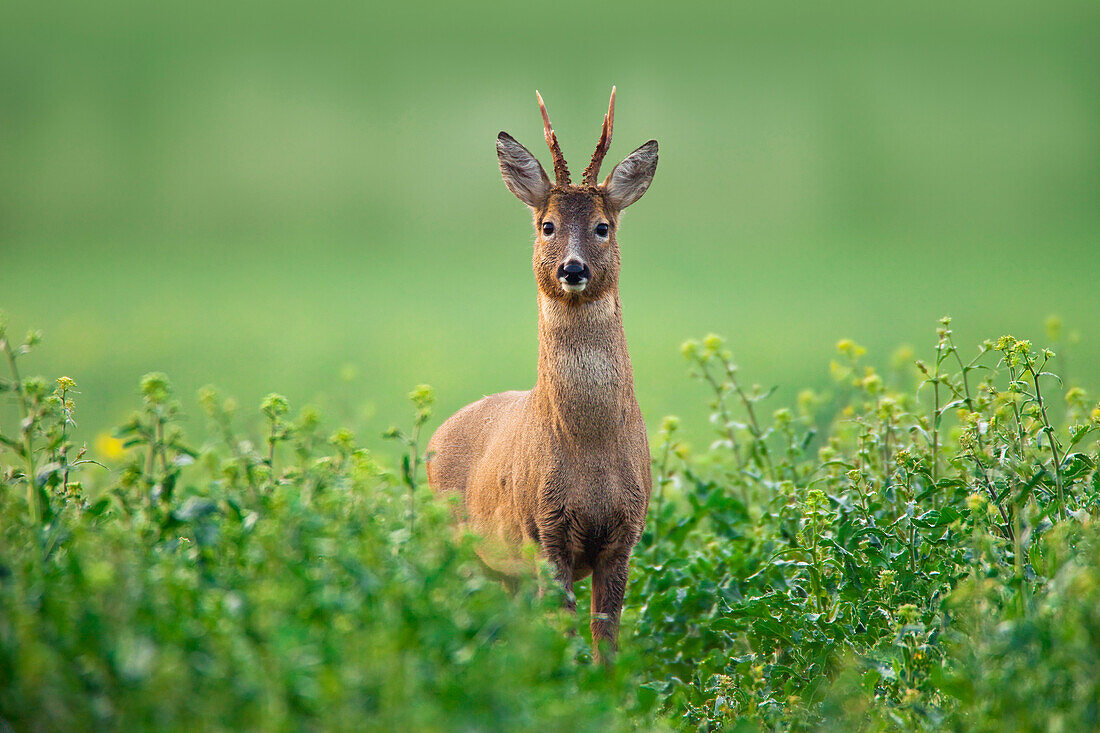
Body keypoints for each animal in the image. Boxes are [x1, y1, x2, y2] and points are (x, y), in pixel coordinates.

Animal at [424, 88, 655, 660]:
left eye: (603, 226)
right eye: (547, 225)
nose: (573, 269)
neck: (591, 450)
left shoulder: (626, 533)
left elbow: (605, 632)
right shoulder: (543, 529)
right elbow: (568, 628)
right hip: (461, 541)